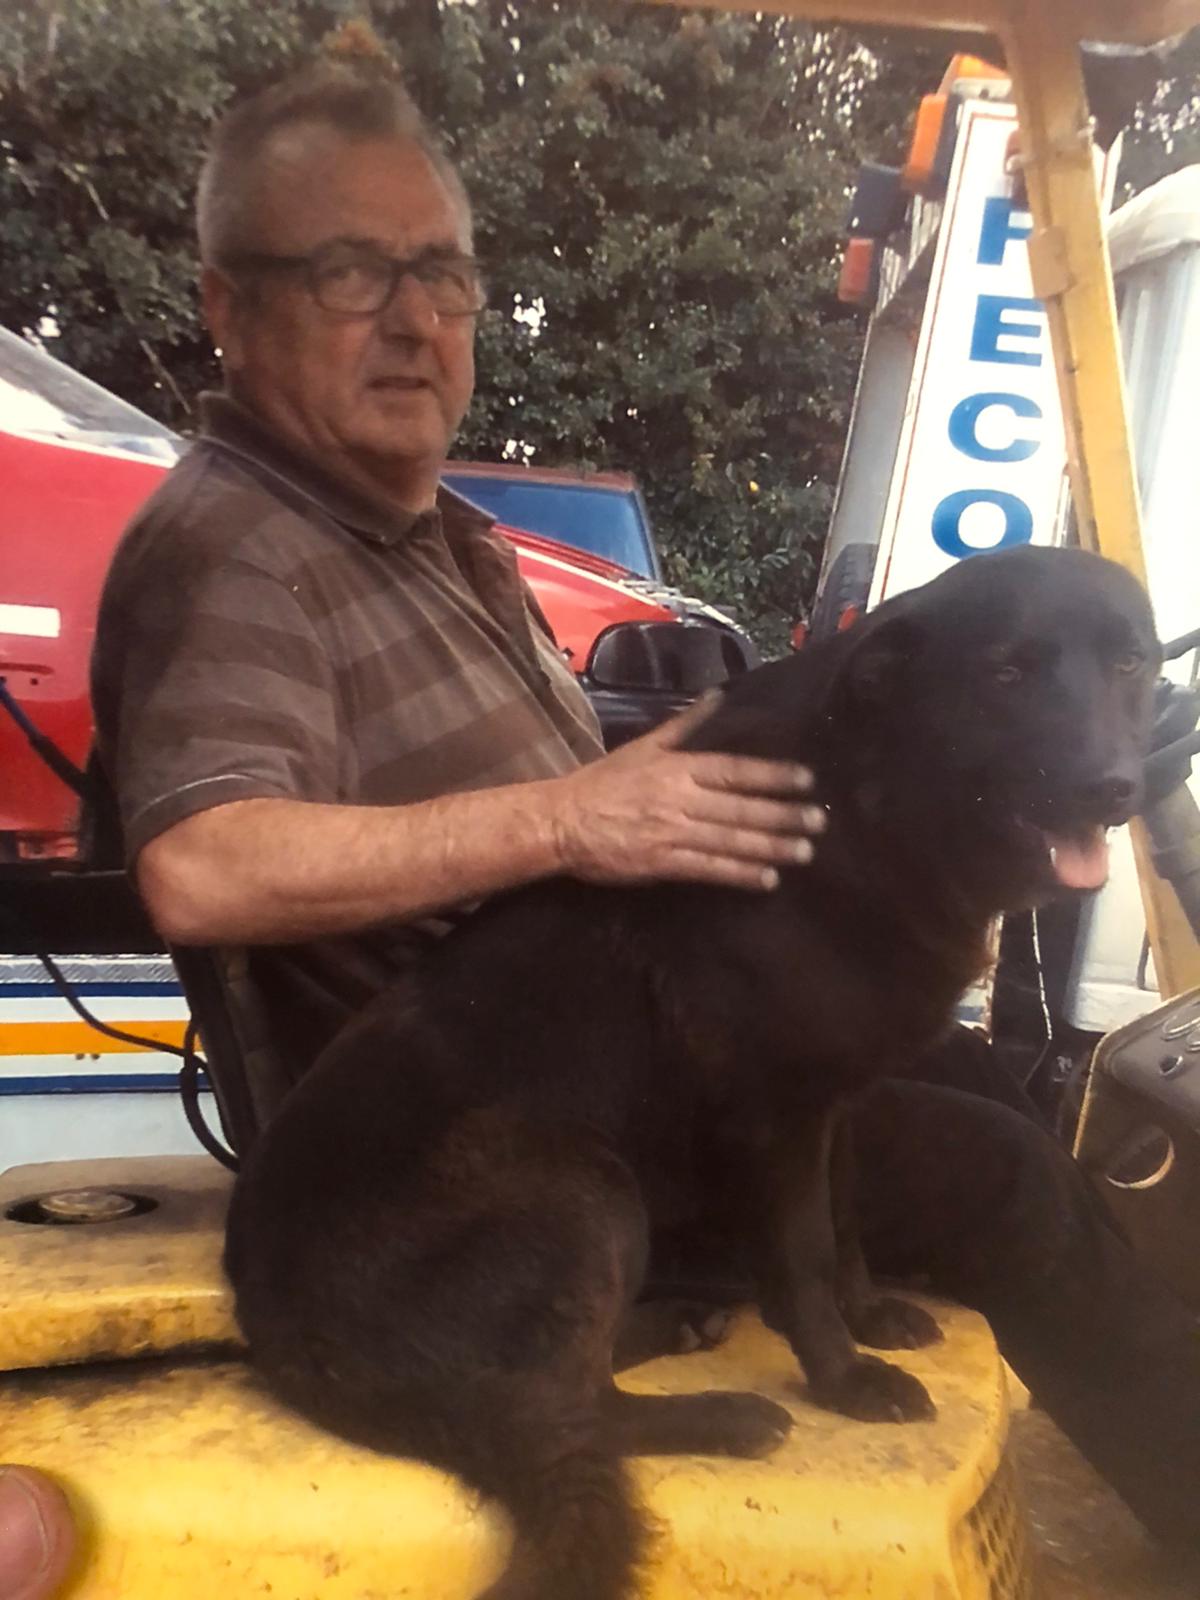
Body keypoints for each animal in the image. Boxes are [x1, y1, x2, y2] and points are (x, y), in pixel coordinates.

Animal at [224, 545, 1158, 1600]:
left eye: (1131, 664)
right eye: (1006, 674)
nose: (1114, 789)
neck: (859, 807)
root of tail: (275, 1329)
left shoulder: (832, 1107)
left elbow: (843, 1231)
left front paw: (870, 1315)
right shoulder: (778, 1119)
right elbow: (803, 1258)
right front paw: (844, 1378)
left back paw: (678, 1326)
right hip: (584, 1187)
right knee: (572, 1413)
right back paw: (723, 1412)